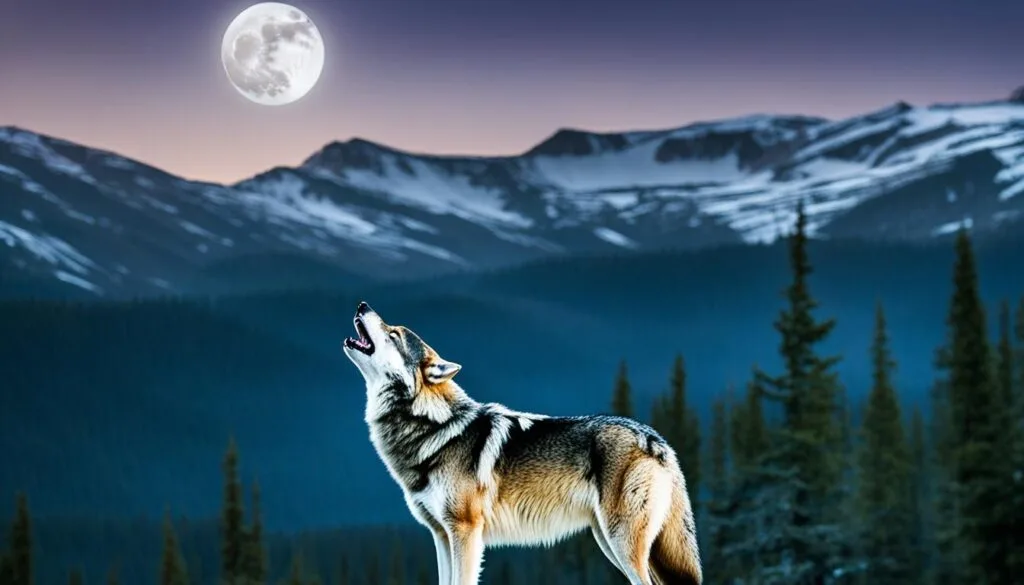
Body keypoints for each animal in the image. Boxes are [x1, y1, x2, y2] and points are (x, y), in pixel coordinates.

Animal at [341, 301, 702, 585]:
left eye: (394, 334)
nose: (362, 304)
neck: (433, 426)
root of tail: (657, 440)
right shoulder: (441, 535)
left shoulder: (465, 532)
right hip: (609, 541)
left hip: (621, 542)